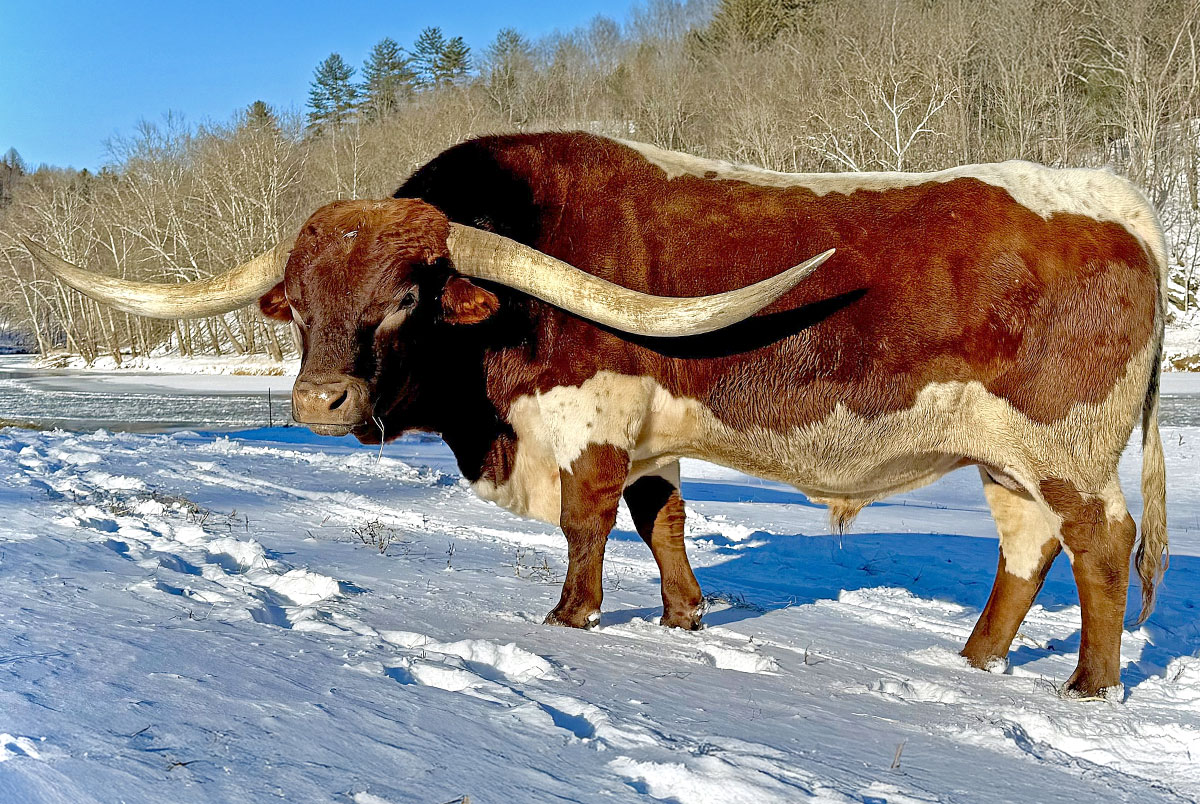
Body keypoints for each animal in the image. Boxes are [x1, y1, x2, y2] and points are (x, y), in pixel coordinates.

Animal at [25, 131, 1168, 699]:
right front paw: (683, 617)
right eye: (300, 305)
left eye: (403, 298)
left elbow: (588, 525)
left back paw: (1087, 686)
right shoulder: (651, 436)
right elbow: (662, 521)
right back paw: (973, 663)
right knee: (1026, 547)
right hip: (1006, 457)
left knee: (1099, 544)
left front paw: (571, 620)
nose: (317, 400)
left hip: (1067, 447)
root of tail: (1121, 201)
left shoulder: (589, 424)